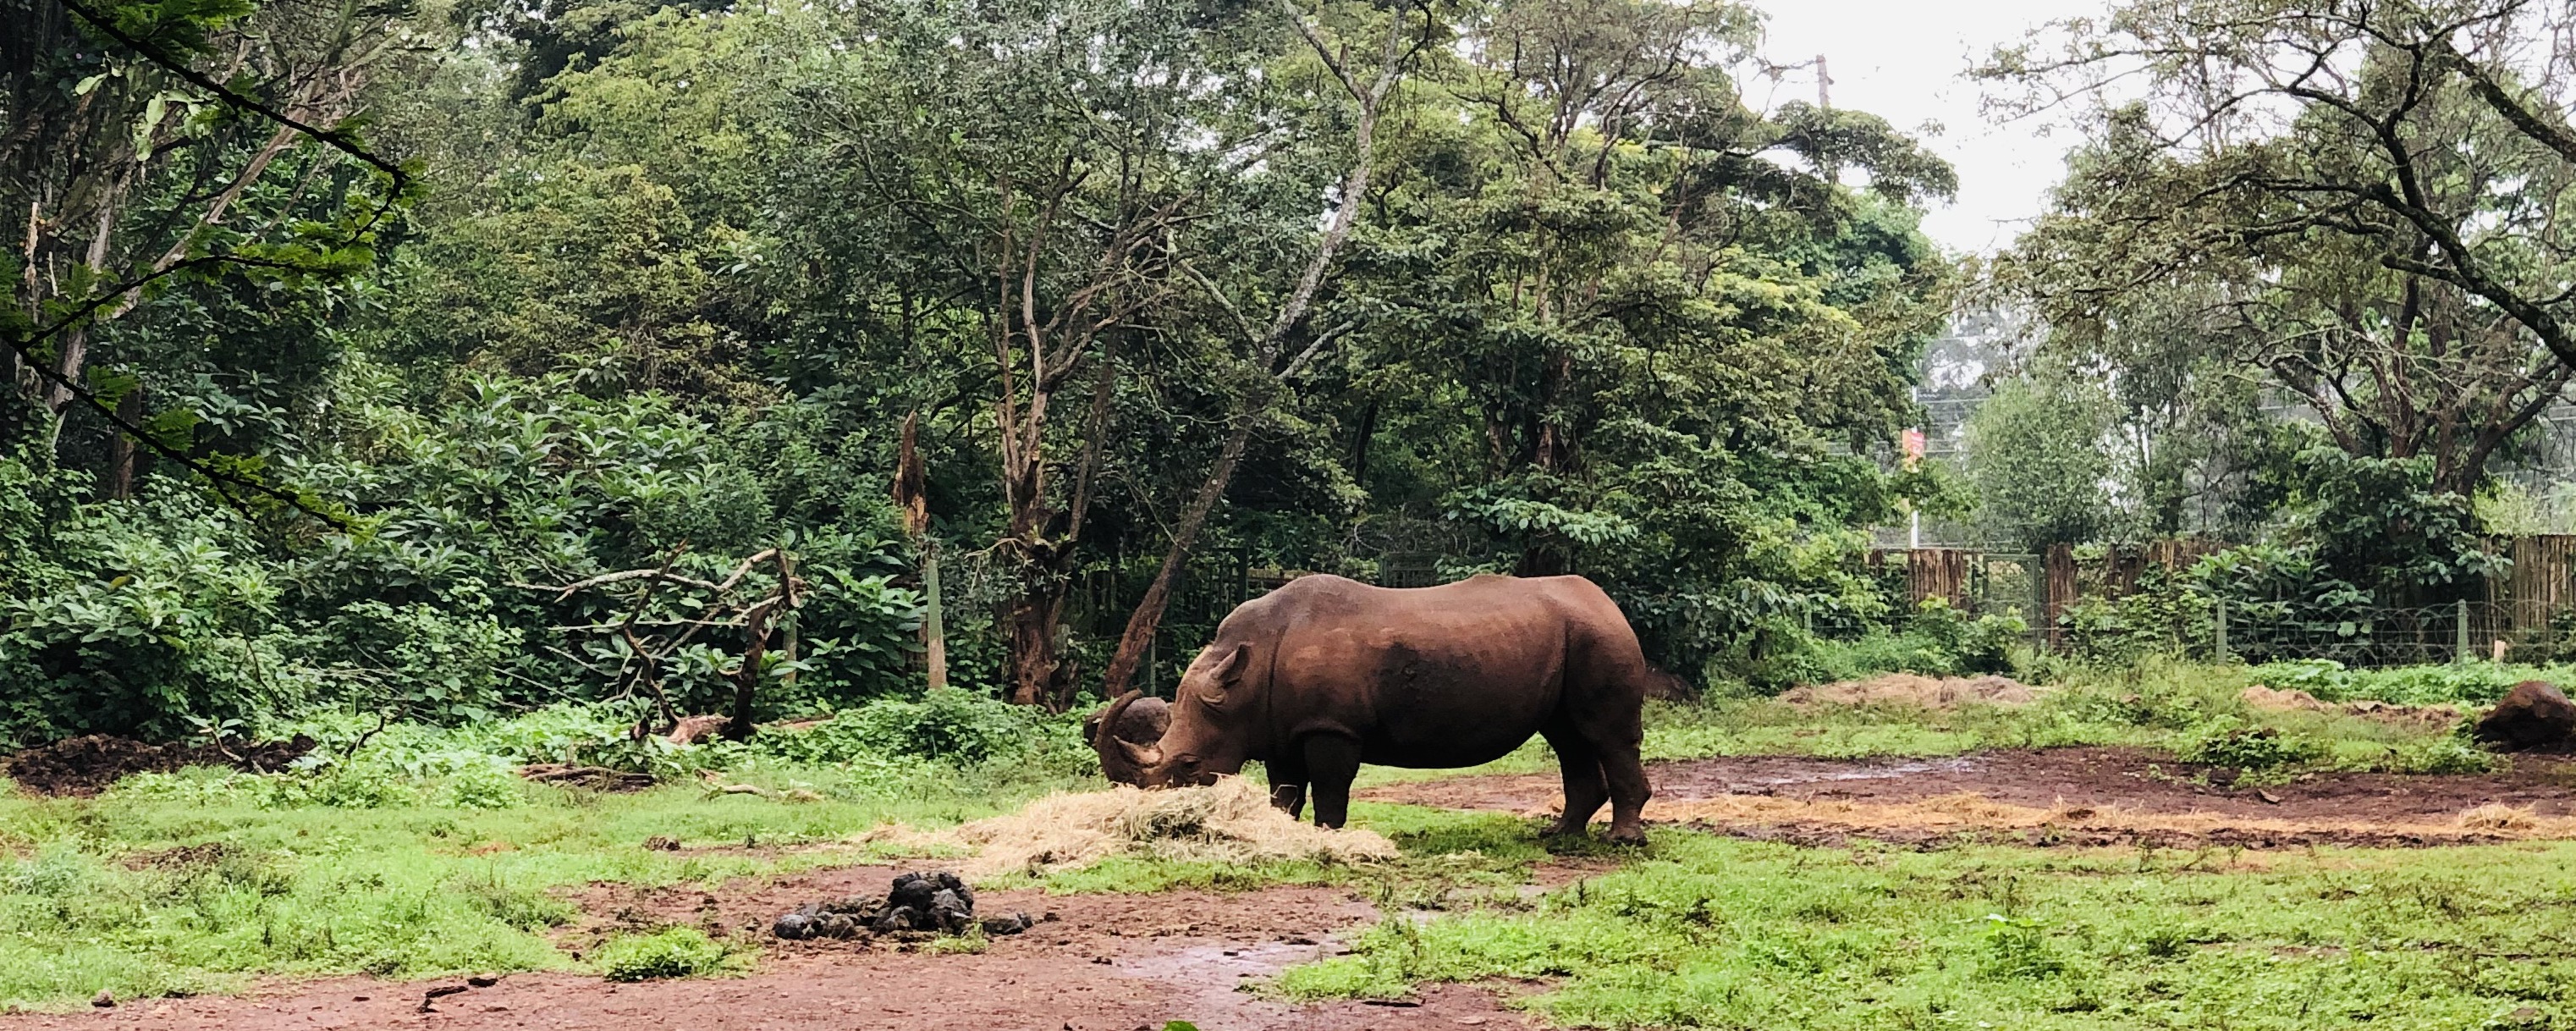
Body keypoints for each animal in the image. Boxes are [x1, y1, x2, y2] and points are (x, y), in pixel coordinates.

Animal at [1092, 573, 1653, 842]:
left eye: (1190, 766)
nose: (1159, 820)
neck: (1242, 682)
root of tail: (1609, 602)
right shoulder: (1280, 727)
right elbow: (1284, 789)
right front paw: (1284, 831)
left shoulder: (1332, 726)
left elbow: (1330, 787)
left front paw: (1328, 836)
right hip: (1576, 636)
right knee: (1568, 738)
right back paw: (1558, 836)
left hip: (1599, 637)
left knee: (1604, 735)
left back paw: (1621, 842)